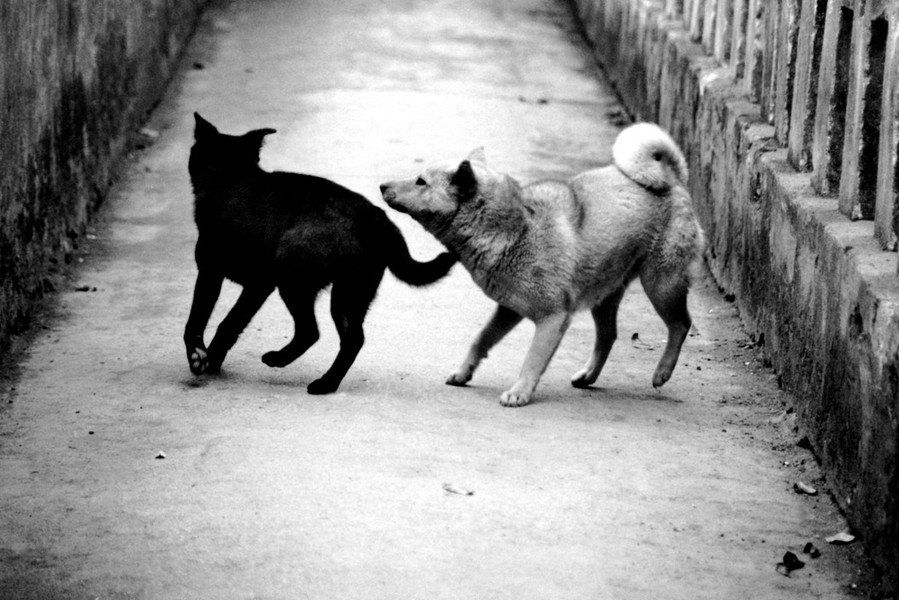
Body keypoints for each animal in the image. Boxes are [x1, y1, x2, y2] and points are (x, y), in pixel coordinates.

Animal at [184, 113, 458, 394]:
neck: (231, 181)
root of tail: (378, 220)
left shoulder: (253, 283)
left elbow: (221, 322)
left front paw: (205, 359)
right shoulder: (215, 276)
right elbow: (204, 321)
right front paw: (205, 357)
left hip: (296, 283)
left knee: (311, 331)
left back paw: (288, 364)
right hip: (350, 294)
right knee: (350, 339)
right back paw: (326, 381)